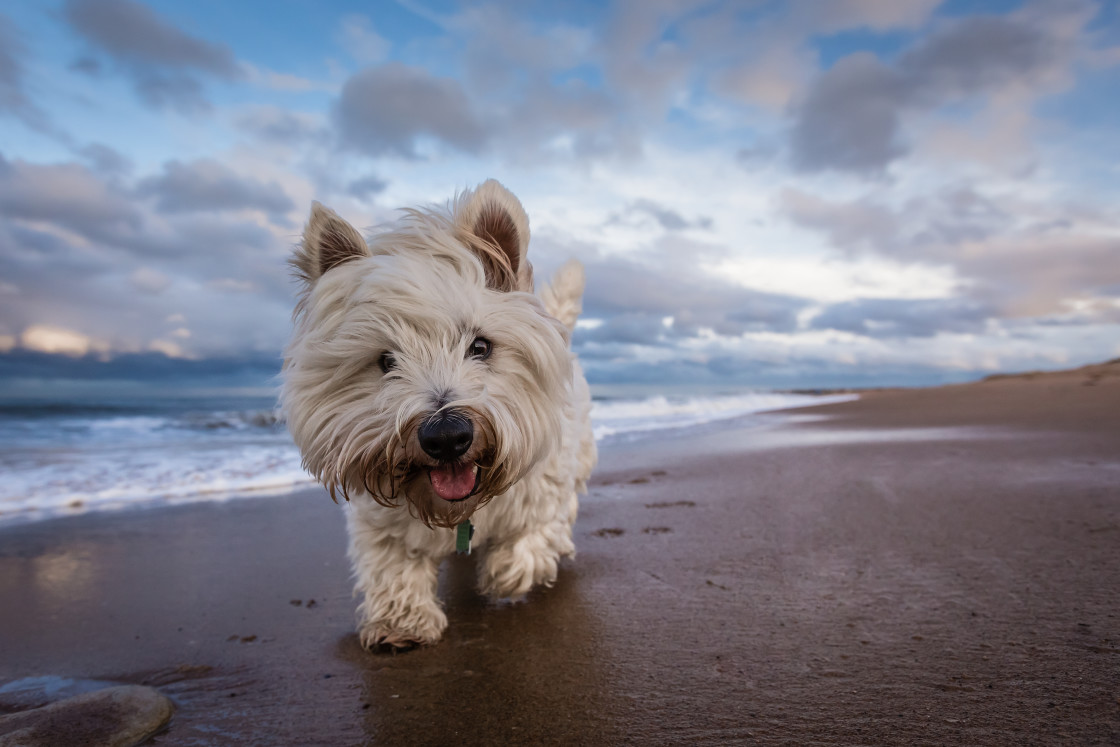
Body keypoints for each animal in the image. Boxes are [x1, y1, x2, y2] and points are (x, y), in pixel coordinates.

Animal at [280, 181, 595, 649]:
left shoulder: (544, 488)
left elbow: (531, 534)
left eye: (480, 346)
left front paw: (506, 573)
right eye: (386, 361)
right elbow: (393, 563)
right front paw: (401, 623)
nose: (446, 436)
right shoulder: (382, 521)